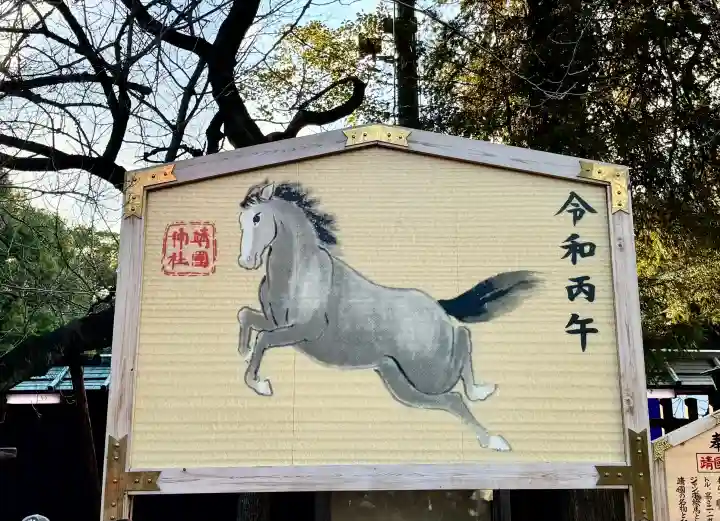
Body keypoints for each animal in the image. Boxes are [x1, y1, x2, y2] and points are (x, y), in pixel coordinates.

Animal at [236, 180, 540, 451]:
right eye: (241, 220)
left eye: (258, 217)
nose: (246, 262)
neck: (298, 275)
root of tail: (439, 308)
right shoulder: (277, 324)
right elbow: (246, 317)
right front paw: (244, 352)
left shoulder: (303, 331)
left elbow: (263, 339)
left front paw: (261, 385)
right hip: (399, 381)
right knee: (452, 397)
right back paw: (486, 412)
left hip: (427, 375)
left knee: (462, 351)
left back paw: (493, 436)